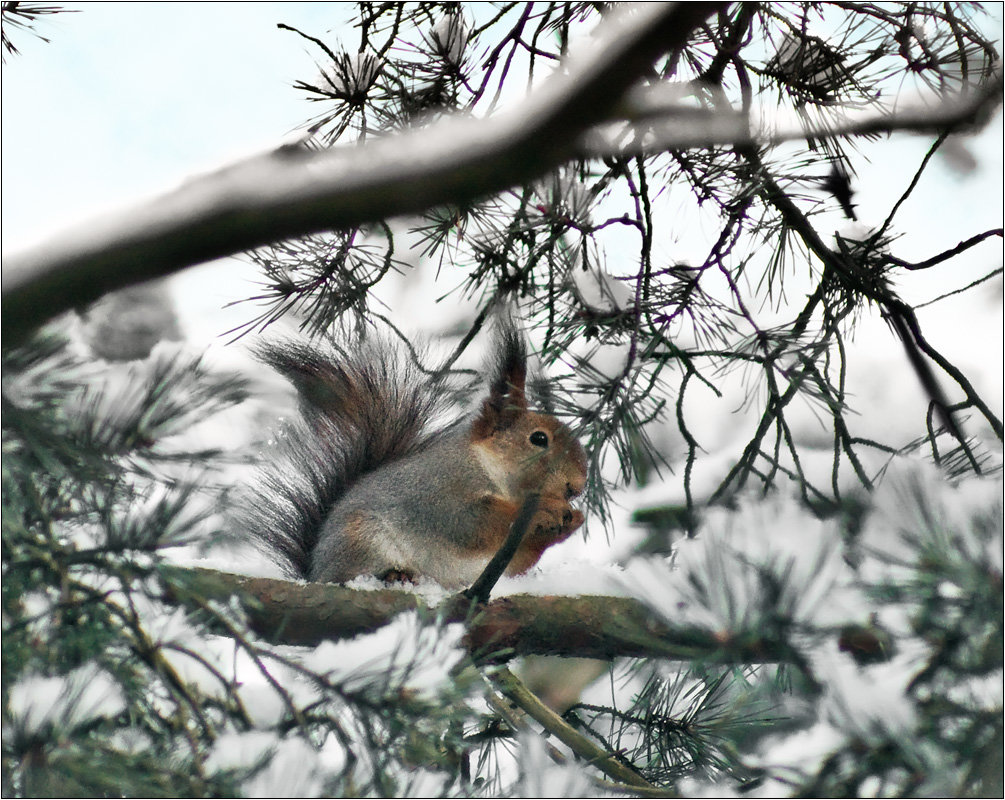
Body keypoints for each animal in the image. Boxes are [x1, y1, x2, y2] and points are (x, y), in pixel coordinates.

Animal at [241, 321, 586, 590]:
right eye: (538, 438)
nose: (577, 486)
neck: (488, 468)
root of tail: (314, 573)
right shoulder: (439, 491)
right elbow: (471, 522)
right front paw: (545, 507)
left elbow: (518, 559)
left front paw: (572, 519)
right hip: (359, 541)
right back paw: (393, 575)